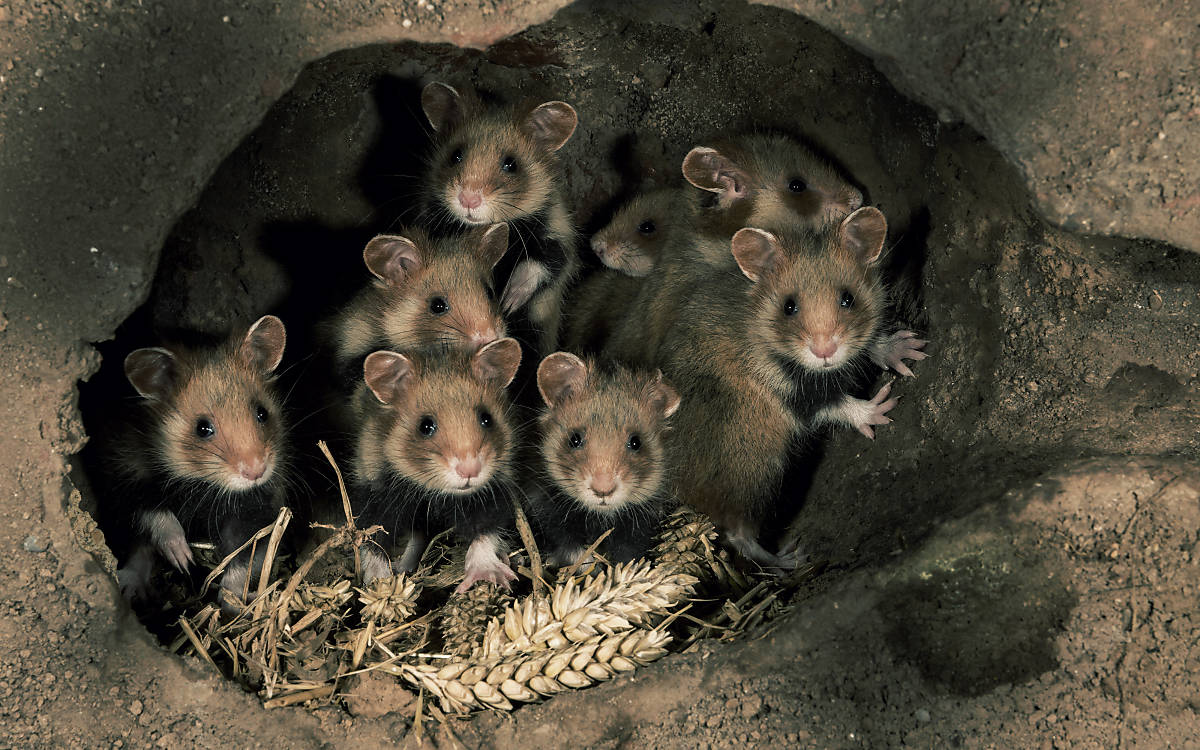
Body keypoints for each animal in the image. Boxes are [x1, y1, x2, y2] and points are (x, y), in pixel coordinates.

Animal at [103, 314, 290, 609]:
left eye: (262, 413)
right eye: (202, 428)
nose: (256, 471)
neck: (200, 484)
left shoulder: (256, 506)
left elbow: (243, 556)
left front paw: (230, 600)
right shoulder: (125, 472)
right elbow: (153, 515)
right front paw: (184, 559)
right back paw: (130, 586)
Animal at [343, 338, 520, 590]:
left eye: (487, 419)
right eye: (425, 426)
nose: (470, 471)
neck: (435, 492)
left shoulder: (489, 495)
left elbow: (483, 533)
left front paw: (490, 574)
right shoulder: (376, 494)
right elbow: (374, 542)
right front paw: (380, 584)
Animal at [420, 80, 578, 355]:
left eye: (511, 164)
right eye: (456, 155)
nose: (468, 199)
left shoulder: (558, 238)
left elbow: (540, 264)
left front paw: (508, 301)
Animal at [530, 352, 681, 564]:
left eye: (636, 442)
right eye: (574, 439)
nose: (603, 491)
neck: (600, 516)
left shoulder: (638, 525)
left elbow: (628, 554)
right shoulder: (549, 512)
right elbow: (571, 549)